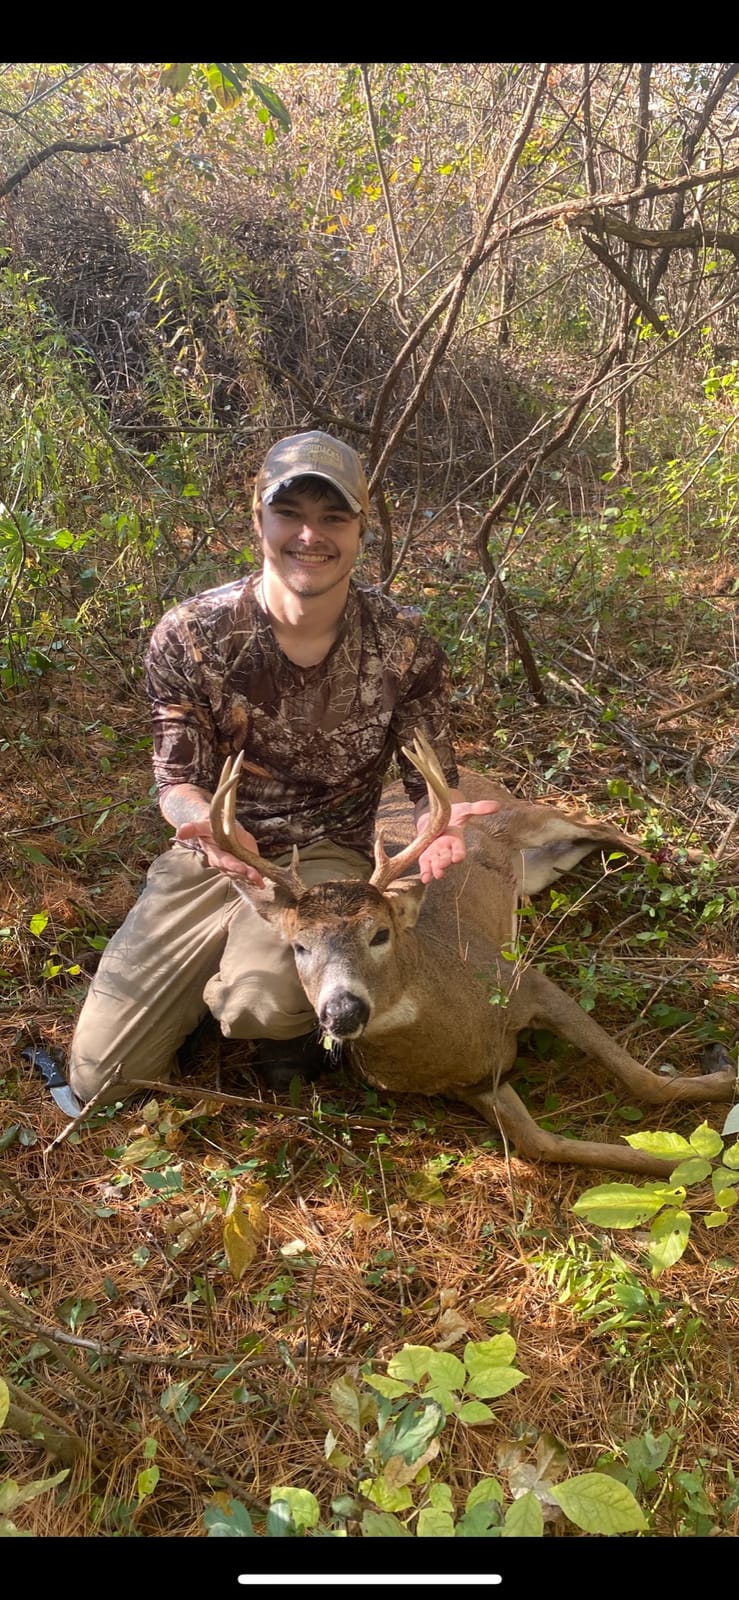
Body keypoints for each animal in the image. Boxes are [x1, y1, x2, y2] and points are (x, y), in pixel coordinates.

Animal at [209, 734, 737, 1179]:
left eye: (380, 933)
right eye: (299, 946)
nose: (343, 1011)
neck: (457, 1022)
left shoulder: (527, 981)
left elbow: (645, 1081)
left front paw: (723, 1077)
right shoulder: (477, 1081)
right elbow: (544, 1144)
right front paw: (677, 1164)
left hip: (522, 814)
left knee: (597, 821)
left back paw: (688, 862)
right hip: (536, 870)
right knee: (581, 841)